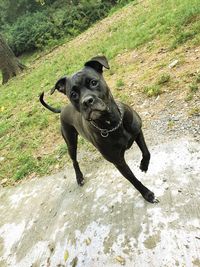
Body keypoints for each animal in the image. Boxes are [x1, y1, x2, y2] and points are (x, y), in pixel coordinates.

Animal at [39, 56, 158, 203]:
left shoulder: (137, 132)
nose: (86, 101)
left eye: (93, 82)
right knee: (74, 160)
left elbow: (146, 152)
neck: (111, 124)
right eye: (73, 94)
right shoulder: (118, 162)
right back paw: (79, 177)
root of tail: (63, 109)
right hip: (70, 143)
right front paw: (147, 194)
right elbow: (133, 179)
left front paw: (144, 165)